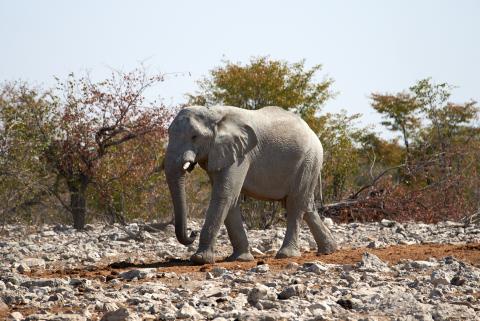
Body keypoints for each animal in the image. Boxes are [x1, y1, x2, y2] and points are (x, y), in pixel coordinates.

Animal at [165, 105, 338, 262]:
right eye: (168, 133)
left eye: (194, 136)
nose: (192, 232)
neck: (213, 113)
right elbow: (231, 199)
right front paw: (240, 259)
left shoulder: (241, 156)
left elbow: (224, 195)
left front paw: (200, 259)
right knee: (306, 205)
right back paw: (328, 250)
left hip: (309, 159)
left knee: (295, 203)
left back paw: (286, 255)